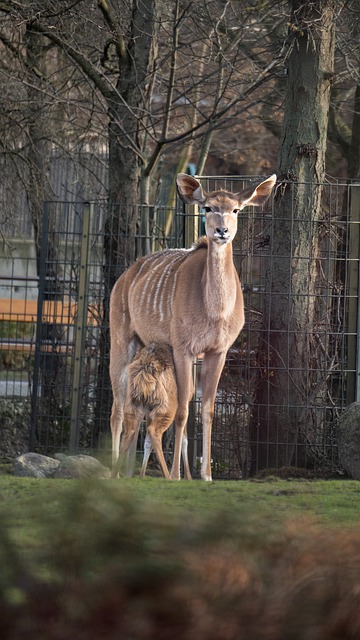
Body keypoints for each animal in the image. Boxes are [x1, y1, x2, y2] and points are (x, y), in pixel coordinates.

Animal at [114, 342, 179, 478]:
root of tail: (146, 365)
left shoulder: (148, 411)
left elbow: (146, 442)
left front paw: (141, 475)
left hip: (132, 405)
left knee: (129, 432)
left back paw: (114, 475)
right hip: (166, 409)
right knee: (154, 432)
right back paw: (168, 476)